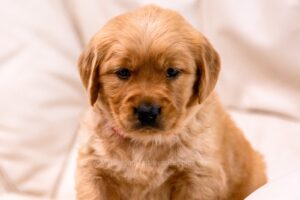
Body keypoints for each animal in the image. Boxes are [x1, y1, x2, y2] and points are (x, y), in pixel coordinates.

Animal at [76, 4, 266, 200]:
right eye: (123, 72)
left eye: (172, 71)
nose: (147, 111)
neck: (145, 143)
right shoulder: (93, 169)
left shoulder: (199, 176)